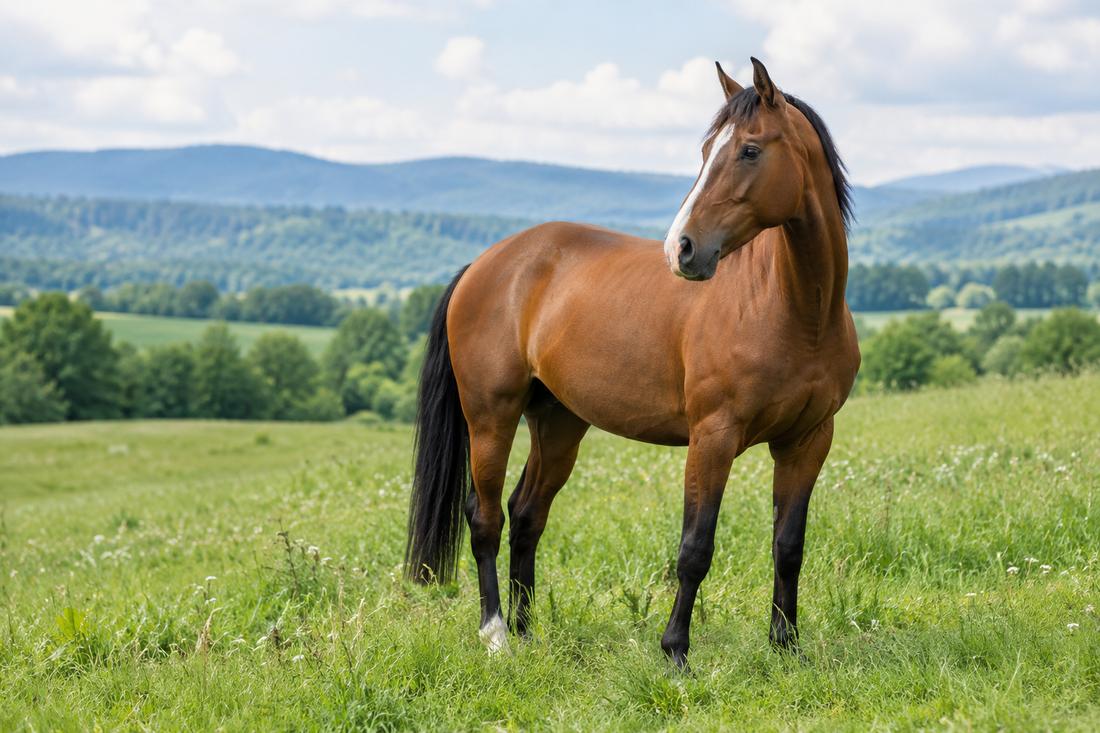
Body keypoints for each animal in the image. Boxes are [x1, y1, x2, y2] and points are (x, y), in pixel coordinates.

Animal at [405, 57, 861, 670]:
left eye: (749, 150)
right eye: (705, 151)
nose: (681, 249)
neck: (793, 309)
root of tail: (486, 263)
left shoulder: (808, 440)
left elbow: (789, 546)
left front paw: (786, 647)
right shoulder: (713, 437)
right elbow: (695, 548)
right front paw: (675, 653)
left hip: (558, 423)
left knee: (526, 516)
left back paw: (526, 631)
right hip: (490, 419)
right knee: (486, 518)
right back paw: (496, 633)